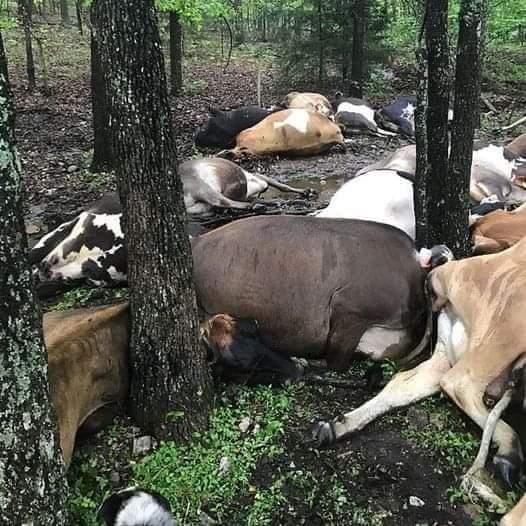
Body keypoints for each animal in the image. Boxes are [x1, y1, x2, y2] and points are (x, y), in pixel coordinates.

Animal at [316, 237, 526, 488]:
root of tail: (443, 273)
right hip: (503, 329)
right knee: (460, 383)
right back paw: (509, 454)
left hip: (446, 355)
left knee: (403, 383)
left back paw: (335, 427)